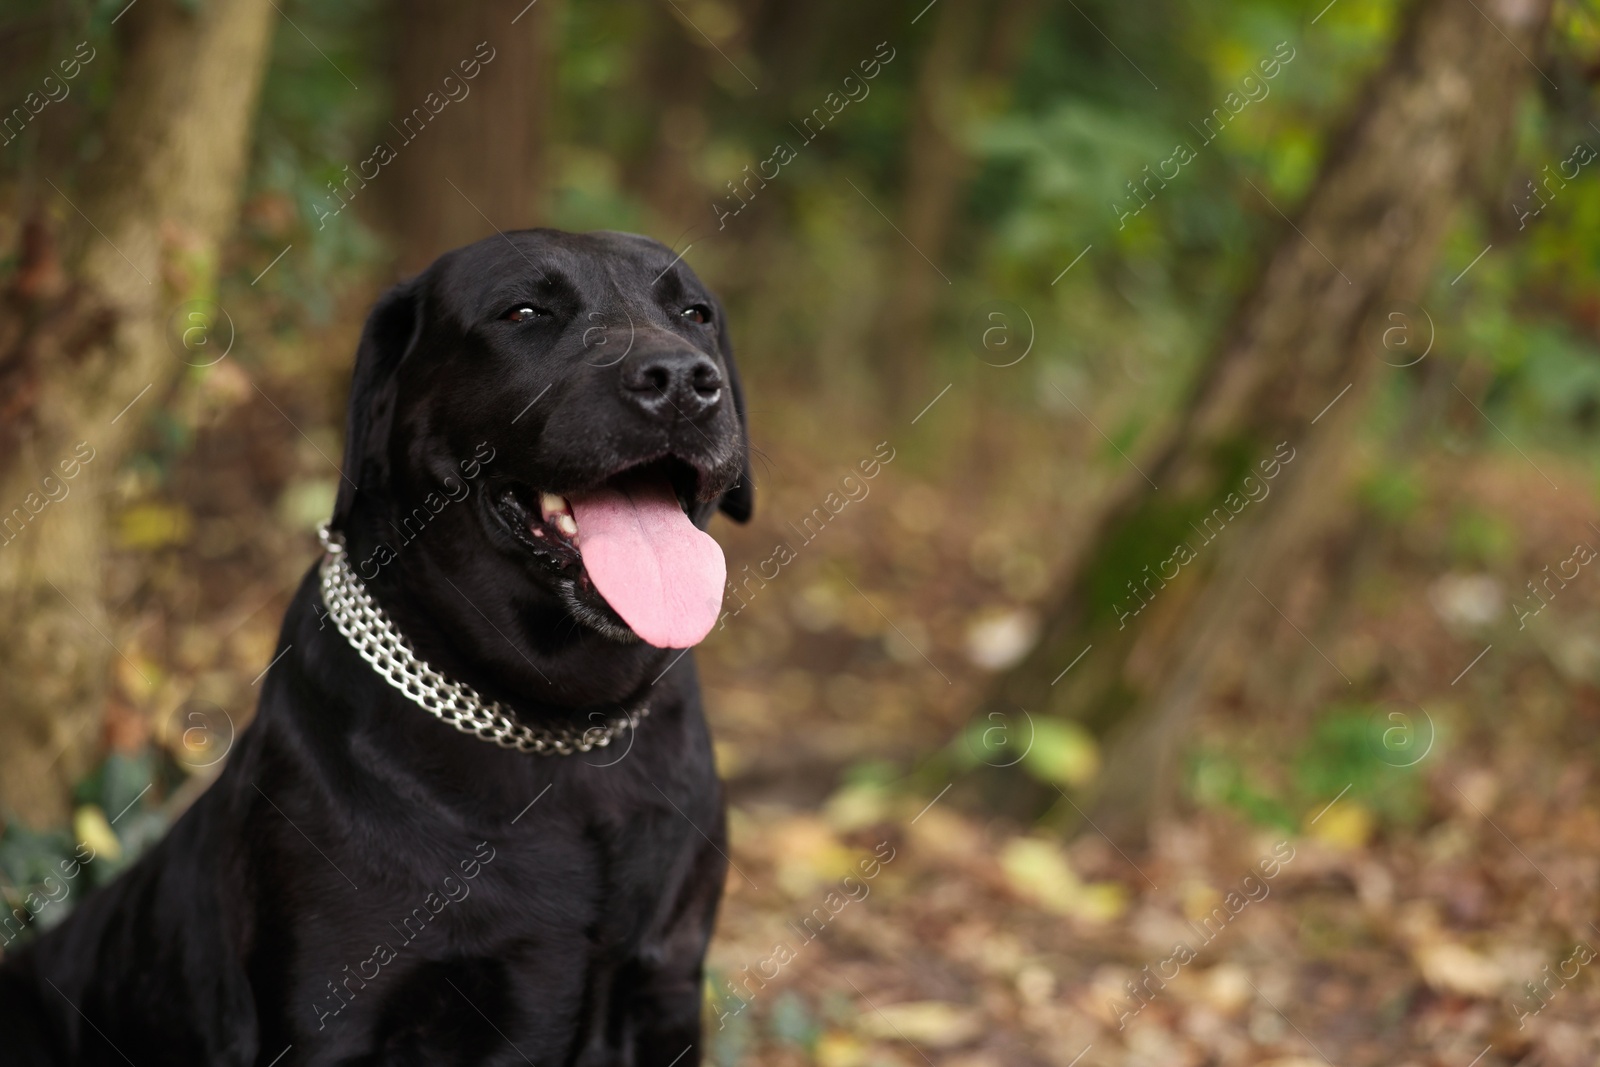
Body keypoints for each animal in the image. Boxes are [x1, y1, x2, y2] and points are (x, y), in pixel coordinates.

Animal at [1, 230, 755, 1062]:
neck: (554, 727)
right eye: (525, 311)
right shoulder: (339, 1013)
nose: (682, 380)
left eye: (694, 314)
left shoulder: (665, 988)